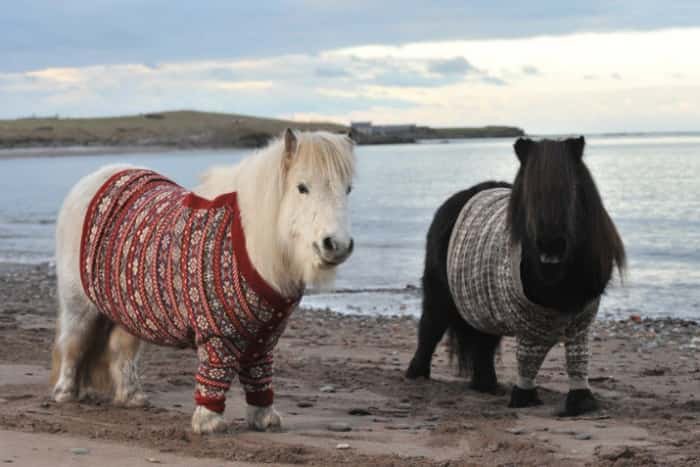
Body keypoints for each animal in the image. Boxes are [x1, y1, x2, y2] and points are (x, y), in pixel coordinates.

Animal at [50, 129, 356, 436]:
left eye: (348, 189)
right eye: (302, 187)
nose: (336, 245)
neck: (249, 242)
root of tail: (95, 178)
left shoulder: (263, 337)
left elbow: (259, 374)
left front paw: (264, 417)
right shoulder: (217, 333)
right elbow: (215, 372)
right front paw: (209, 421)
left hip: (129, 309)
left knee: (121, 349)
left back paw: (132, 397)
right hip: (79, 304)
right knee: (74, 342)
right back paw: (65, 393)